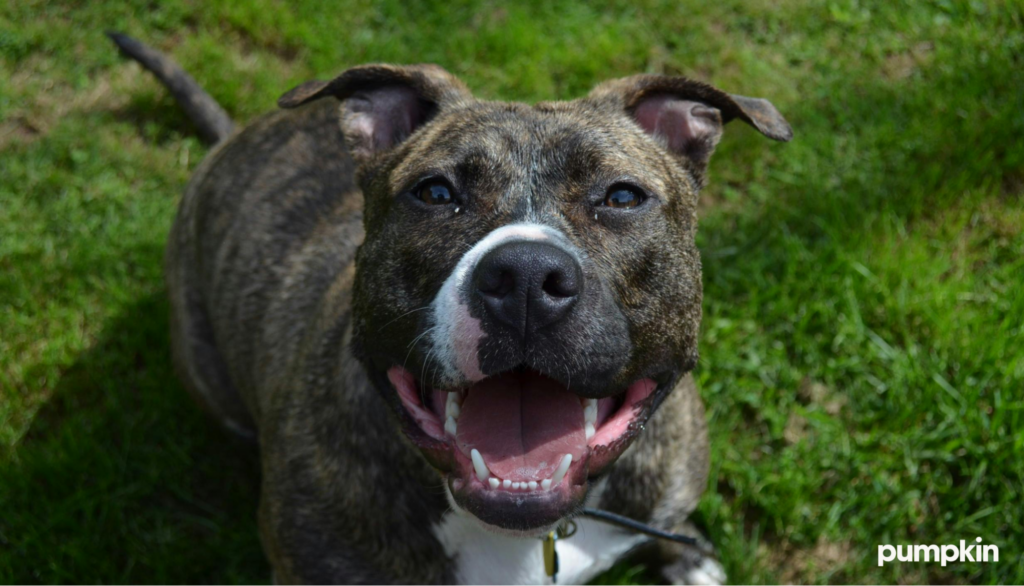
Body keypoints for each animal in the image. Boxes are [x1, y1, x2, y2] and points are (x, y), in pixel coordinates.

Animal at [110, 30, 790, 586]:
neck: (527, 537)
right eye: (435, 193)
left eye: (622, 197)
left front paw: (684, 554)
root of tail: (232, 139)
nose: (525, 276)